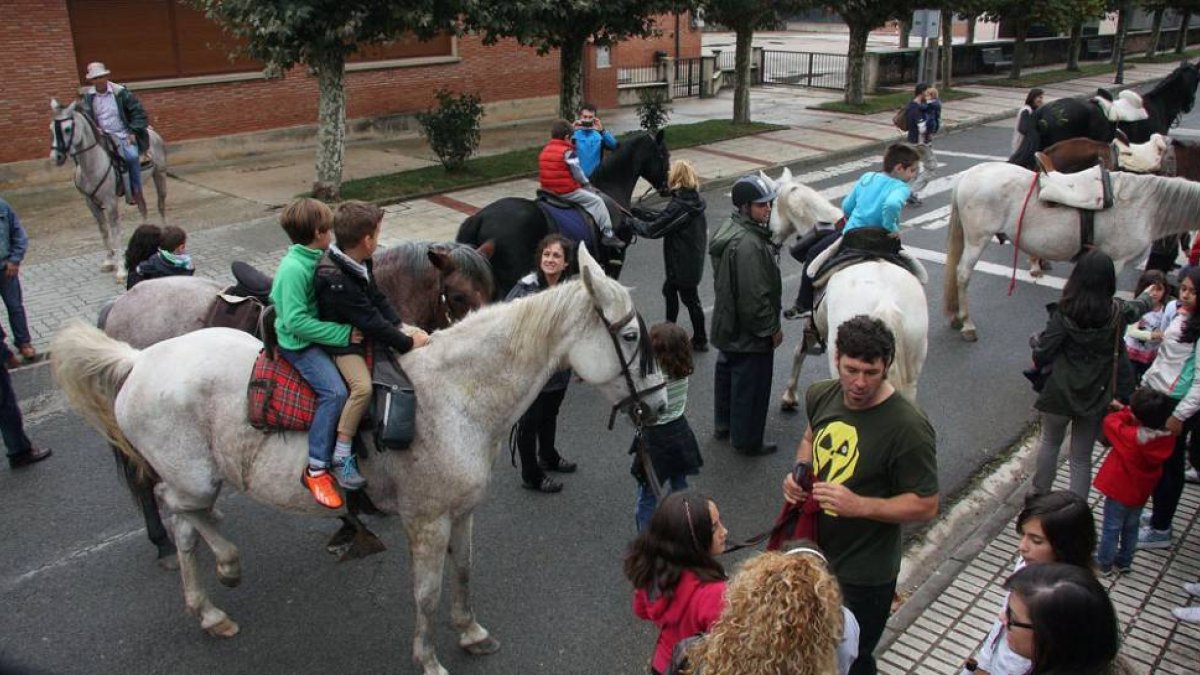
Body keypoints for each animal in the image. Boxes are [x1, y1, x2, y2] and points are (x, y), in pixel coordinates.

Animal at [49, 98, 168, 283]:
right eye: (51, 128)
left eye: (67, 129)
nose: (56, 157)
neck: (92, 165)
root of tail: (152, 131)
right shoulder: (91, 203)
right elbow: (104, 230)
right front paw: (108, 261)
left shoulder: (111, 202)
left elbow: (115, 231)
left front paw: (120, 270)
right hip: (137, 187)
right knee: (143, 208)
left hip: (159, 176)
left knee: (161, 206)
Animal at [51, 244, 666, 675]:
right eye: (630, 336)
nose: (658, 405)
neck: (456, 393)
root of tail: (137, 361)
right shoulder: (426, 521)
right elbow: (426, 592)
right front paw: (429, 658)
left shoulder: (462, 513)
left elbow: (464, 572)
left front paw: (469, 632)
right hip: (191, 476)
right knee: (172, 510)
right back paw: (216, 583)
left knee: (189, 519)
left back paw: (217, 585)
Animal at [766, 169, 928, 410]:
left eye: (772, 204)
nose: (770, 239)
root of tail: (887, 303)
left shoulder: (813, 323)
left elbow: (798, 352)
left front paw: (789, 396)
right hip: (912, 373)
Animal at [943, 162, 1200, 341]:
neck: (1145, 205)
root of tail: (967, 175)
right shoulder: (1116, 260)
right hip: (977, 240)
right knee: (963, 274)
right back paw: (967, 325)